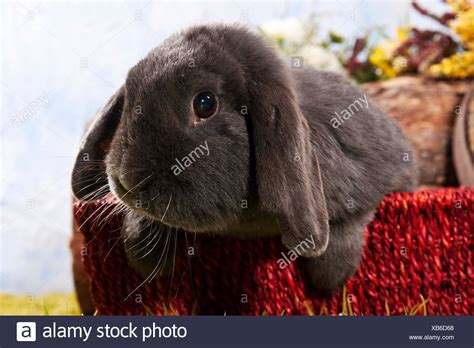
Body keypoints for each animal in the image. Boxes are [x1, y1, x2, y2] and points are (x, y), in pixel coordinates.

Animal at [72, 23, 416, 292]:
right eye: (130, 96)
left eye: (205, 103)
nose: (127, 181)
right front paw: (142, 253)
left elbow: (351, 219)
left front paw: (329, 279)